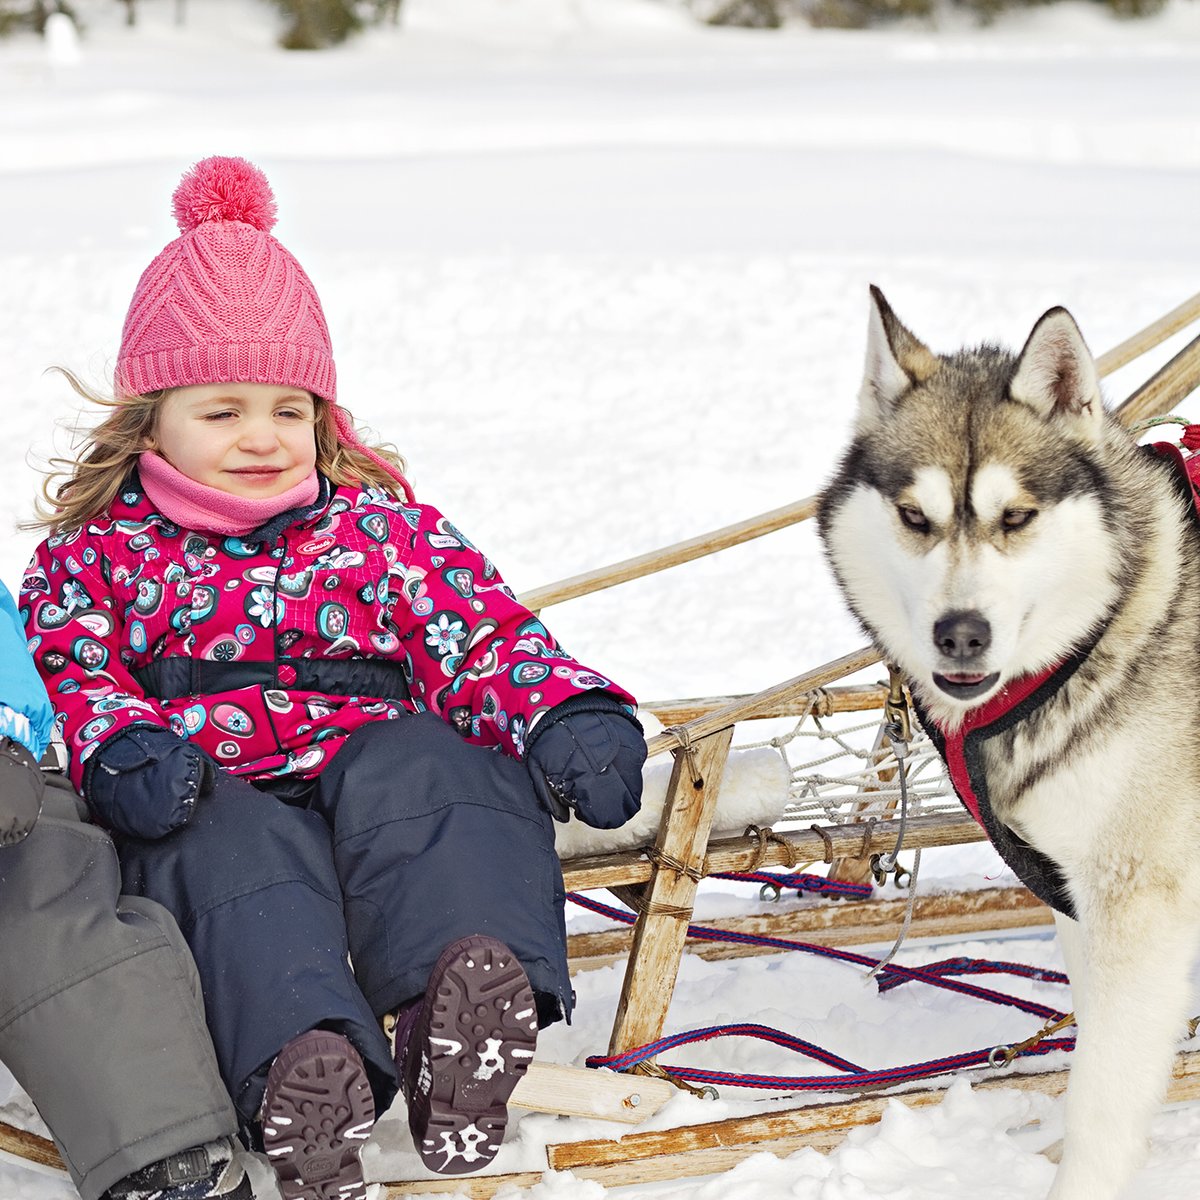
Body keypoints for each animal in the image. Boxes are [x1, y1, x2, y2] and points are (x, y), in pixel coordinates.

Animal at [816, 288, 1200, 1200]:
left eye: (1016, 517)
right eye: (914, 518)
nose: (962, 633)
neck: (1111, 627)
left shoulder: (1138, 901)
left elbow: (1103, 1093)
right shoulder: (1077, 893)